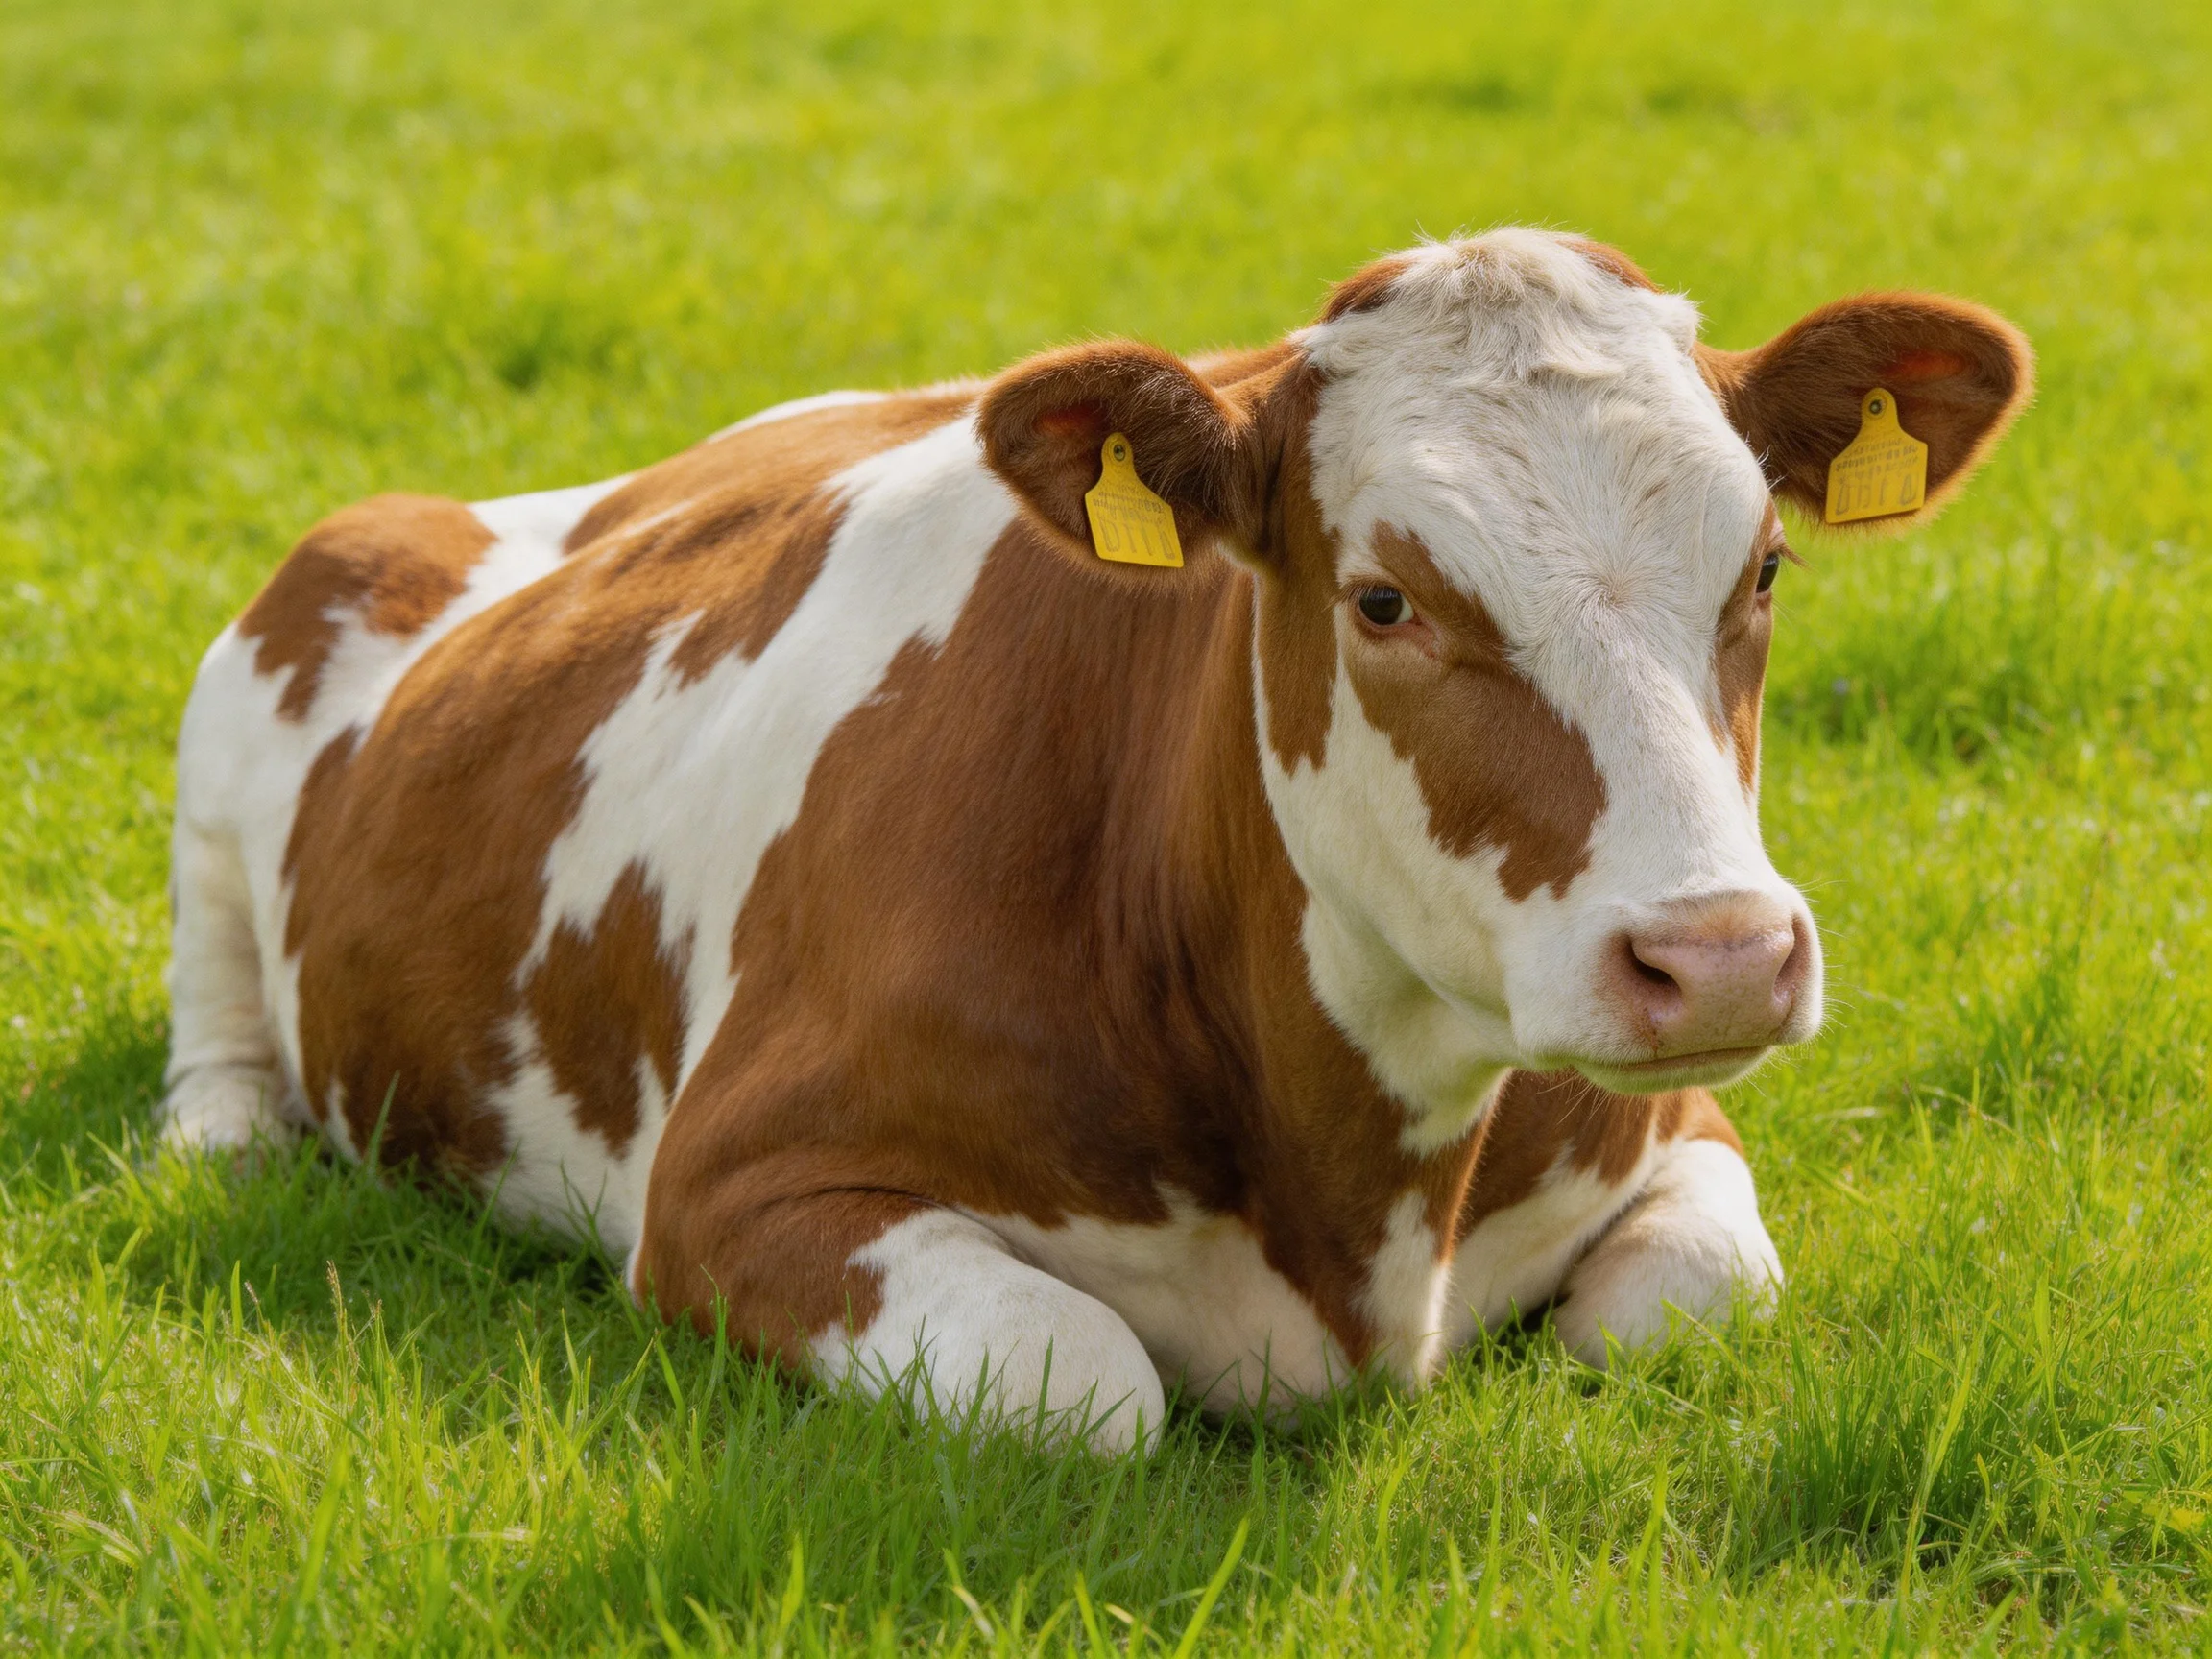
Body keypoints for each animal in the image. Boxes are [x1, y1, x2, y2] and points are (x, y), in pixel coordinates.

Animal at [158, 230, 2031, 1451]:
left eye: (1763, 568)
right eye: (1384, 598)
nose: (1716, 957)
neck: (1359, 1204)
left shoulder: (1675, 1129)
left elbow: (1673, 1309)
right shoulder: (723, 1191)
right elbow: (1086, 1384)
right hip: (255, 677)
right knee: (219, 1020)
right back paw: (225, 1148)